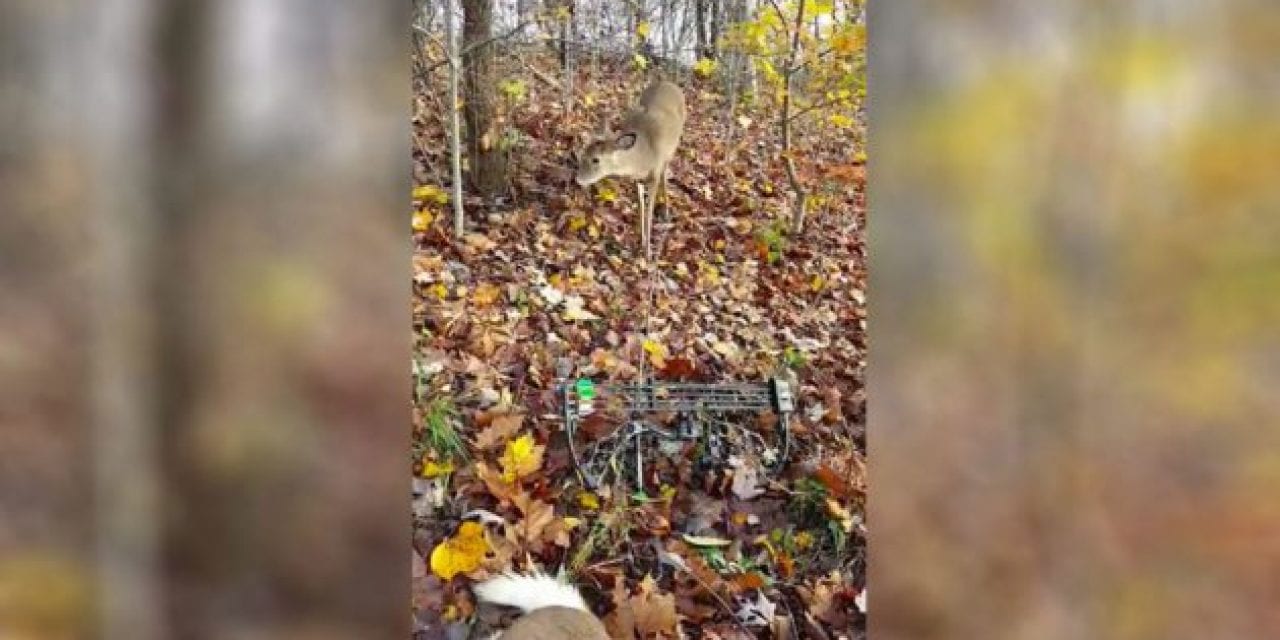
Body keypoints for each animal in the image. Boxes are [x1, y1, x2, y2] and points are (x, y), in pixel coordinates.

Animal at [573, 78, 686, 258]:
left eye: (596, 160)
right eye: (583, 151)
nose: (578, 180)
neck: (644, 154)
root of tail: (669, 83)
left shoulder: (654, 175)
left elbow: (649, 213)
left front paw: (648, 252)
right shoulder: (636, 180)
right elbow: (640, 207)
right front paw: (641, 242)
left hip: (672, 150)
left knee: (665, 175)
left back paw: (667, 212)